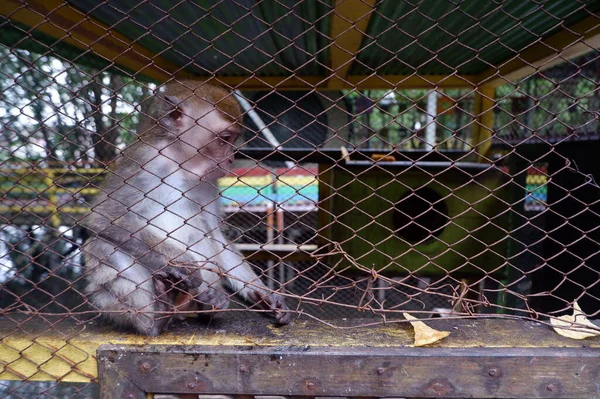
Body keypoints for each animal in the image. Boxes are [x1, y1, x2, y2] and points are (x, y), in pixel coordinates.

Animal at [80, 79, 292, 336]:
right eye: (225, 138)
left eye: (233, 140)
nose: (231, 159)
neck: (180, 163)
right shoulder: (146, 162)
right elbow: (104, 218)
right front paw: (186, 268)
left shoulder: (209, 181)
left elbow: (215, 234)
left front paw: (264, 295)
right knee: (102, 245)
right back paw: (157, 318)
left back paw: (209, 304)